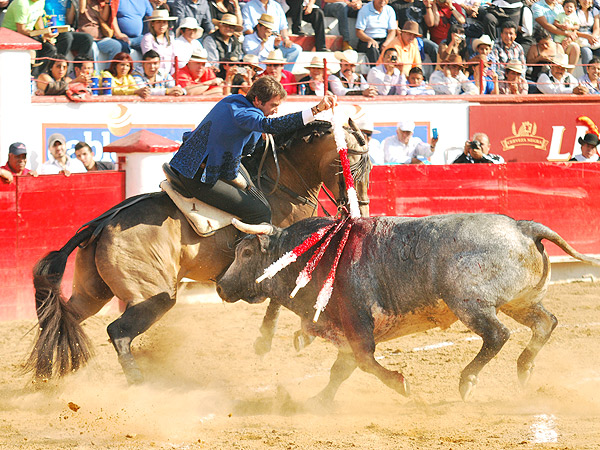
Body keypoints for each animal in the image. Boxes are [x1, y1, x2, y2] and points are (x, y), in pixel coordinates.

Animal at [28, 119, 372, 384]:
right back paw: (137, 382)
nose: (359, 211)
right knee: (117, 331)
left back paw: (47, 378)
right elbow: (281, 299)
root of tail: (101, 224)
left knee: (62, 319)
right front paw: (271, 340)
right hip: (154, 295)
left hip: (92, 292)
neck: (283, 187)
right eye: (349, 168)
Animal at [218, 215, 600, 404]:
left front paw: (400, 384)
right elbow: (341, 370)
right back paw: (524, 369)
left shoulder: (356, 323)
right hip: (519, 301)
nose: (220, 286)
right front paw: (318, 400)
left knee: (497, 334)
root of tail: (522, 227)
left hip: (468, 301)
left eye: (246, 253)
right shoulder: (344, 330)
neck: (317, 253)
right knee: (545, 323)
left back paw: (468, 381)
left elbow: (364, 362)